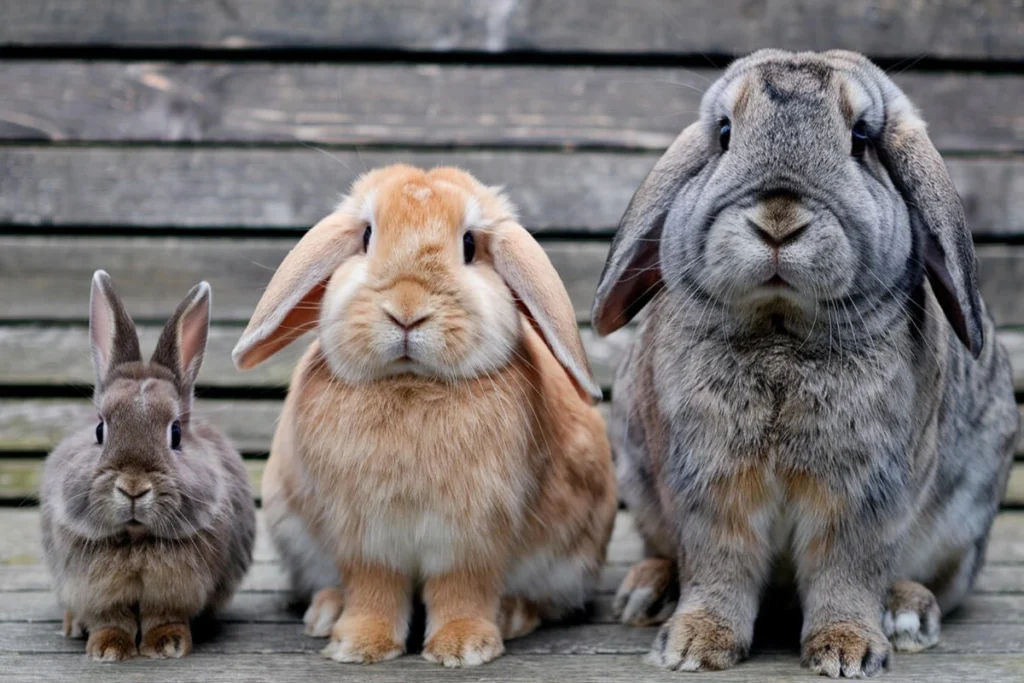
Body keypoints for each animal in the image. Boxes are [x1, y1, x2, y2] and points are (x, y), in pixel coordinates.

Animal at [43, 270, 260, 663]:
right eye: (100, 429)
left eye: (175, 433)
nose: (132, 487)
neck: (136, 539)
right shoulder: (95, 591)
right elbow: (110, 619)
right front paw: (107, 649)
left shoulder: (175, 593)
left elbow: (164, 616)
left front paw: (167, 645)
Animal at [598, 49, 1019, 679]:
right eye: (725, 134)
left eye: (862, 138)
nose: (778, 221)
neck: (780, 329)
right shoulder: (708, 484)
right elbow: (718, 565)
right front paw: (694, 646)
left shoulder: (863, 494)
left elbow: (846, 572)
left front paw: (847, 651)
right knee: (661, 551)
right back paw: (646, 595)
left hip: (963, 525)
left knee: (934, 584)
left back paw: (907, 615)